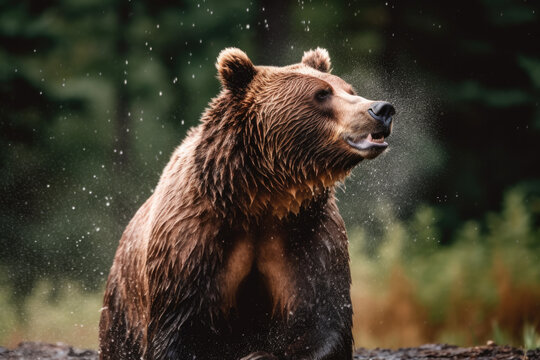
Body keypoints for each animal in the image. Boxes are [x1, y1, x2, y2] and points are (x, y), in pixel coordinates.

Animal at [100, 48, 396, 360]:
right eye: (321, 94)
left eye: (349, 89)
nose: (381, 109)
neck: (259, 197)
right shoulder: (189, 243)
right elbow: (174, 331)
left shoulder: (309, 233)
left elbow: (323, 319)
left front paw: (259, 353)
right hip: (121, 311)